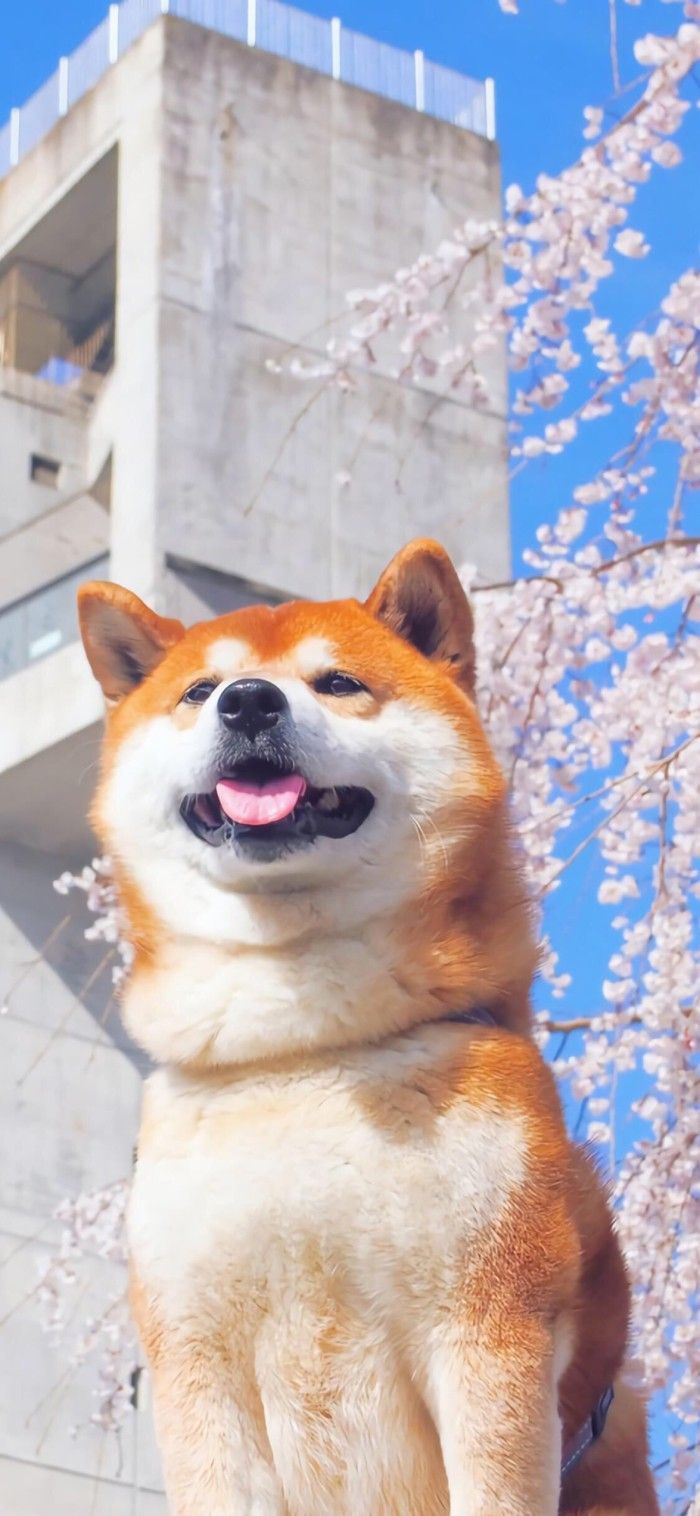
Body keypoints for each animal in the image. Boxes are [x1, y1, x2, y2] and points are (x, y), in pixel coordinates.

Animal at [79, 539, 657, 1509]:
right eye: (199, 691)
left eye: (339, 682)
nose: (249, 701)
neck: (306, 1046)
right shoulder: (195, 1361)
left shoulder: (490, 1327)